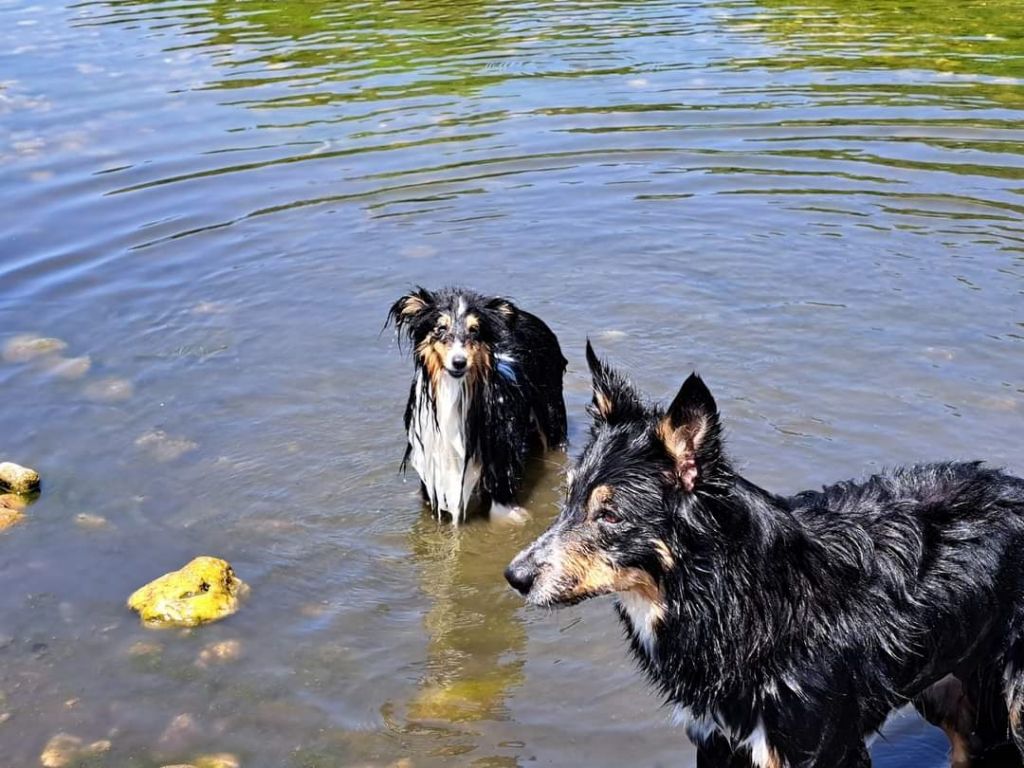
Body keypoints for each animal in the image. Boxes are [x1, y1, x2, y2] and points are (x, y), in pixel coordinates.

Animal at [385, 286, 569, 528]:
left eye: (474, 330)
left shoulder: (500, 458)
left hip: (551, 413)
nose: (459, 362)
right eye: (440, 328)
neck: (454, 392)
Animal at [507, 344, 1024, 768]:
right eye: (568, 498)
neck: (728, 591)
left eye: (610, 515)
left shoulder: (820, 746)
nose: (514, 576)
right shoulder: (716, 739)